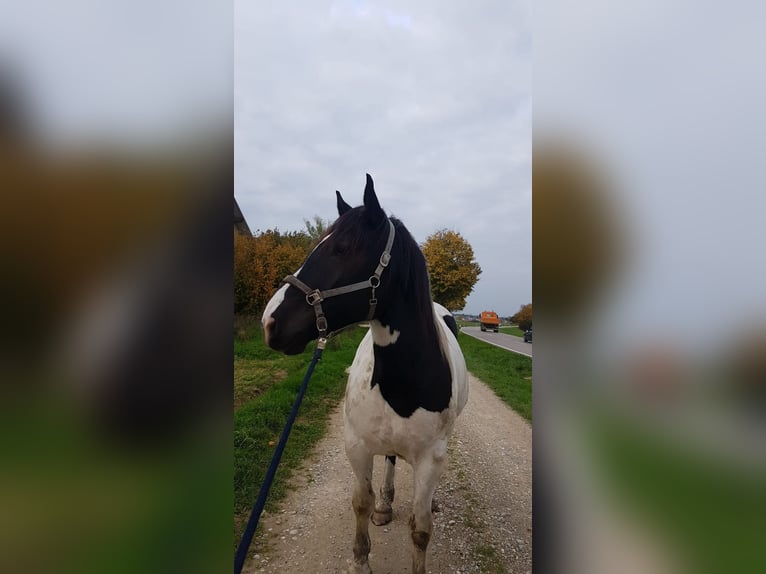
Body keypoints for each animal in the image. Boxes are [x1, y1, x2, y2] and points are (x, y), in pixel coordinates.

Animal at [261, 174, 468, 574]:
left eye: (342, 248)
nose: (270, 322)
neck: (404, 383)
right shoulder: (357, 445)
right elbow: (361, 502)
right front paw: (361, 559)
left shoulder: (430, 458)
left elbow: (421, 529)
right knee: (389, 461)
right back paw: (386, 505)